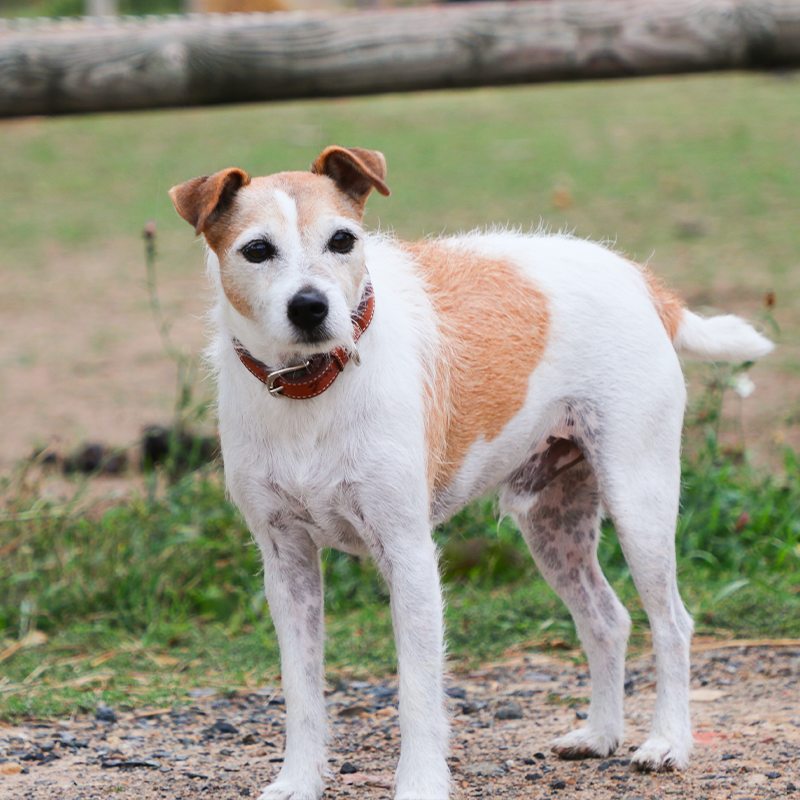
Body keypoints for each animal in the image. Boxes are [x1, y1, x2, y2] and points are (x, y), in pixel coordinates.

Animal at [170, 147, 776, 796]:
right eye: (257, 249)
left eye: (342, 240)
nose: (311, 307)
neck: (312, 389)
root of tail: (640, 278)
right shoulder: (287, 565)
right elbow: (301, 690)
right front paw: (299, 780)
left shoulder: (408, 554)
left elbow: (418, 691)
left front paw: (419, 783)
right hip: (552, 522)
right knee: (607, 620)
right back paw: (599, 735)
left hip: (640, 504)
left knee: (672, 623)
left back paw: (666, 742)